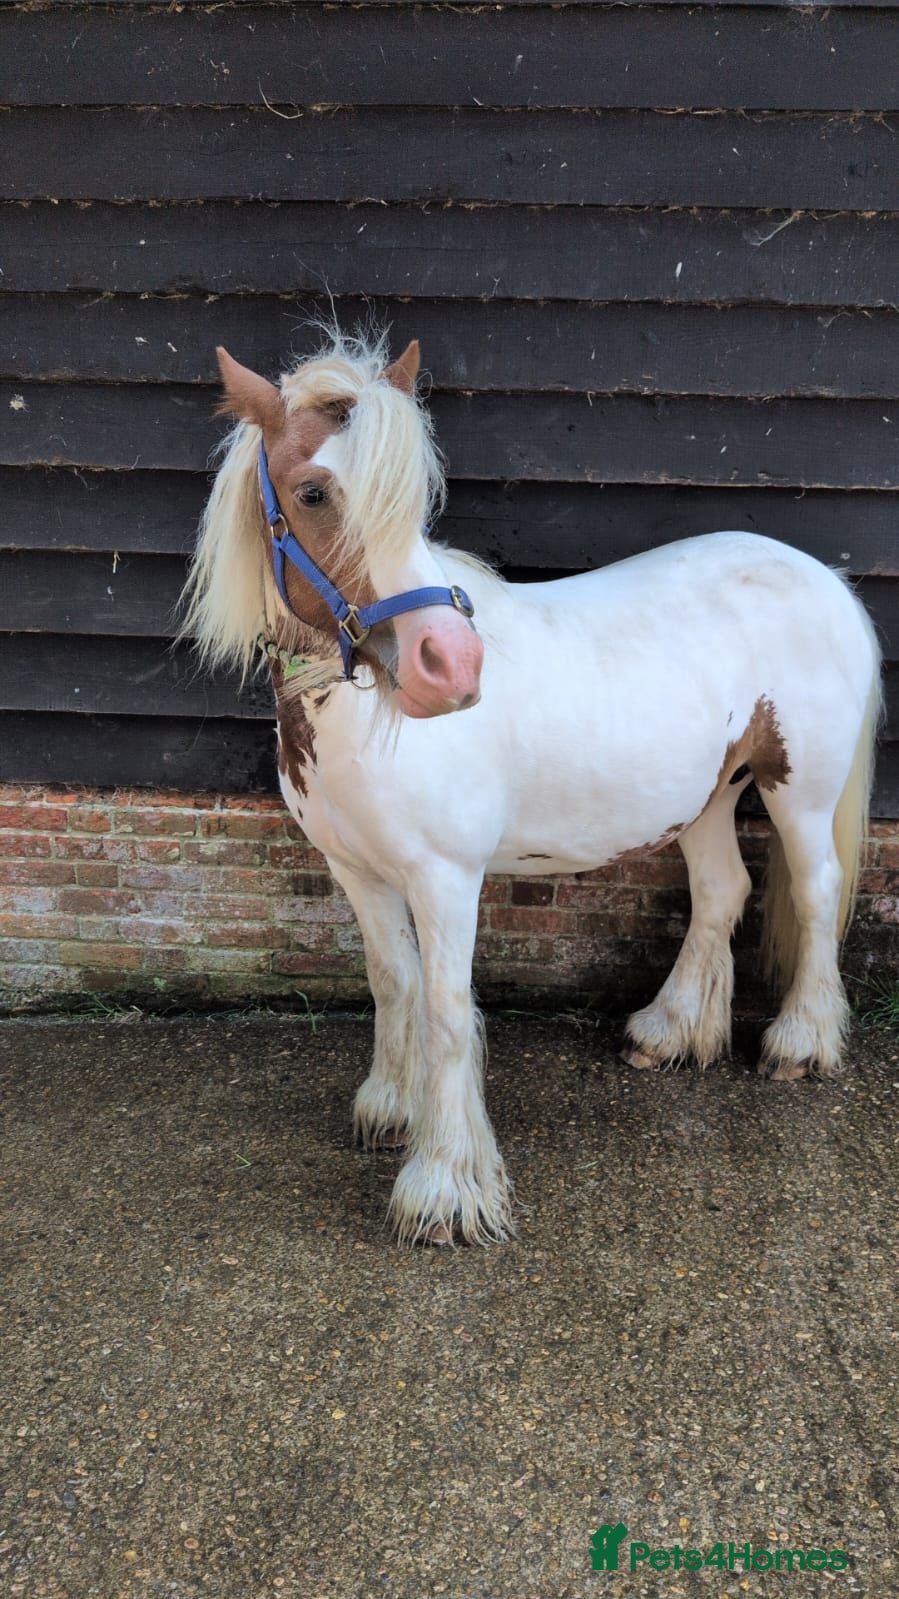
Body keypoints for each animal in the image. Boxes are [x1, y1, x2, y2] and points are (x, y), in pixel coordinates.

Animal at [181, 328, 882, 1246]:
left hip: (796, 789)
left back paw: (800, 1042)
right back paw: (665, 1031)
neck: (356, 717)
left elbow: (446, 1009)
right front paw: (391, 1108)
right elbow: (392, 980)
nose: (450, 666)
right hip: (705, 796)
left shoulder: (445, 879)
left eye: (413, 500)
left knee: (813, 890)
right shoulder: (357, 872)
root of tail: (823, 579)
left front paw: (444, 1190)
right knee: (722, 891)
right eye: (311, 491)